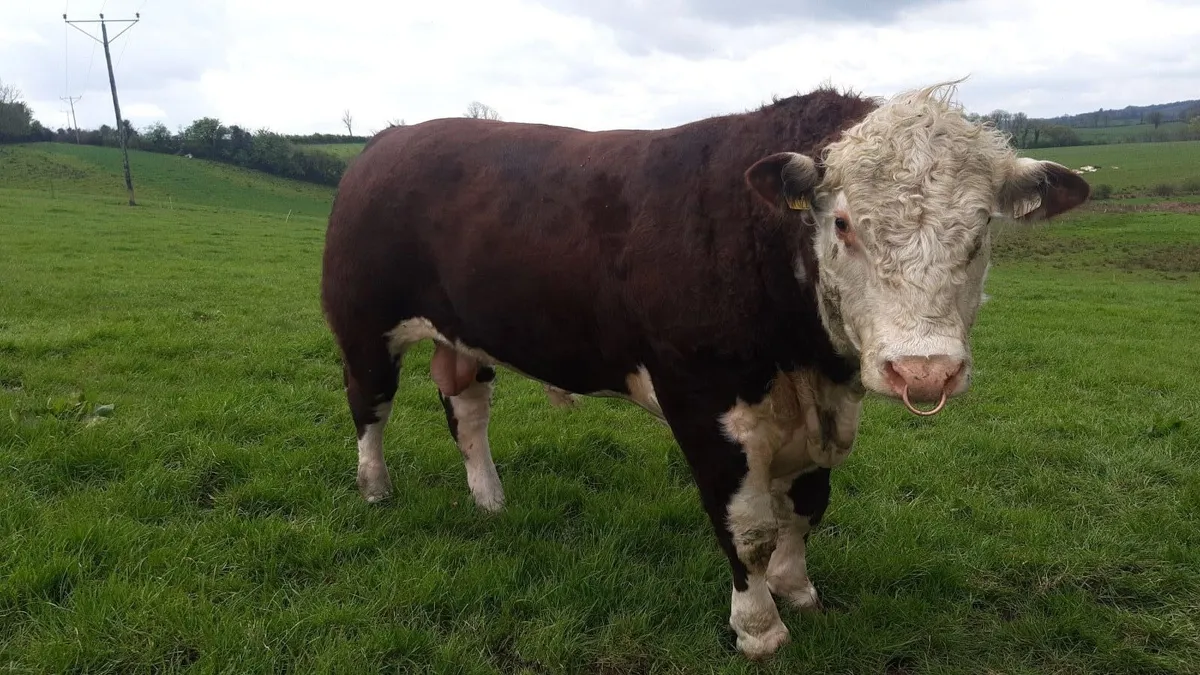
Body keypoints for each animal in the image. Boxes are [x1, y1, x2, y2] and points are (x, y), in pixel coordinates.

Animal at [319, 80, 1089, 659]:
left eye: (982, 229)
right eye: (843, 224)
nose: (924, 370)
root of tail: (389, 139)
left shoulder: (822, 404)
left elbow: (807, 504)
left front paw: (797, 589)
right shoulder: (704, 402)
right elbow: (746, 525)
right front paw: (759, 627)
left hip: (467, 336)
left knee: (467, 408)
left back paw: (489, 498)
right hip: (362, 324)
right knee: (369, 404)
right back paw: (375, 487)